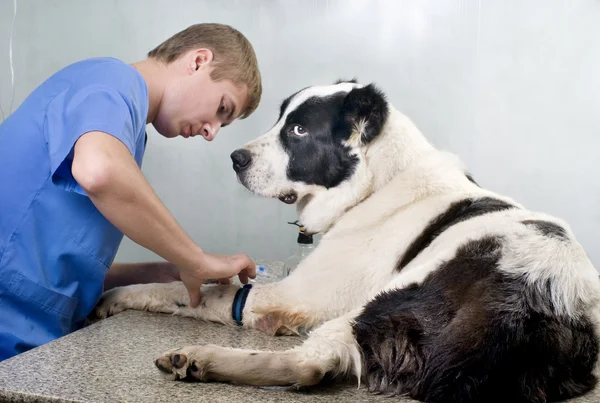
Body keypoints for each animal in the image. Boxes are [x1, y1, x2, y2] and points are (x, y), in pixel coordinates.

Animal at [94, 80, 600, 402]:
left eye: (298, 130)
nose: (235, 158)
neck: (376, 183)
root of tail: (546, 299)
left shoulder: (288, 297)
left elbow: (189, 291)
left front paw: (115, 296)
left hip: (382, 302)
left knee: (309, 366)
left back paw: (197, 359)